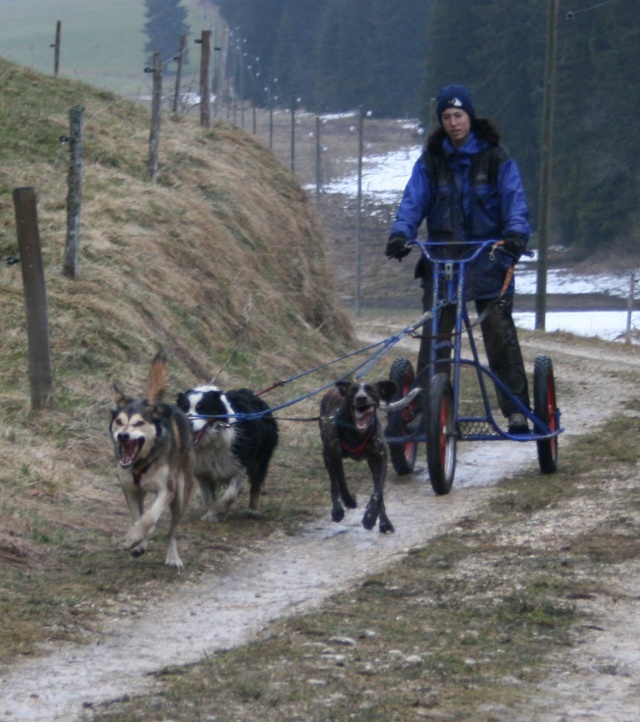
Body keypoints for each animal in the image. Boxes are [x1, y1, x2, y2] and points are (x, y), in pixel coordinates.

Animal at [109, 352, 194, 564]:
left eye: (139, 423)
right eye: (119, 421)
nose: (123, 435)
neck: (141, 462)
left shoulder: (167, 489)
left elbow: (149, 517)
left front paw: (133, 537)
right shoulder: (131, 489)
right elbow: (139, 517)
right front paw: (139, 541)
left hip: (181, 492)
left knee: (172, 530)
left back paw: (173, 556)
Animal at [175, 382, 278, 516]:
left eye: (201, 408)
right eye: (184, 407)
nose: (188, 422)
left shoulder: (239, 464)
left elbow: (230, 493)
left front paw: (221, 507)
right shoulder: (202, 470)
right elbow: (209, 496)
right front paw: (210, 514)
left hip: (260, 457)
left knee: (256, 483)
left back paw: (253, 510)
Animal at [320, 380, 400, 532]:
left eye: (371, 390)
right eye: (353, 390)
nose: (361, 398)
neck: (356, 434)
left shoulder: (381, 458)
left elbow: (377, 493)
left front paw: (370, 517)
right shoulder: (330, 455)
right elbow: (336, 483)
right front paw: (340, 507)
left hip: (371, 462)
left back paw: (383, 521)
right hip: (333, 457)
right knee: (338, 479)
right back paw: (345, 502)